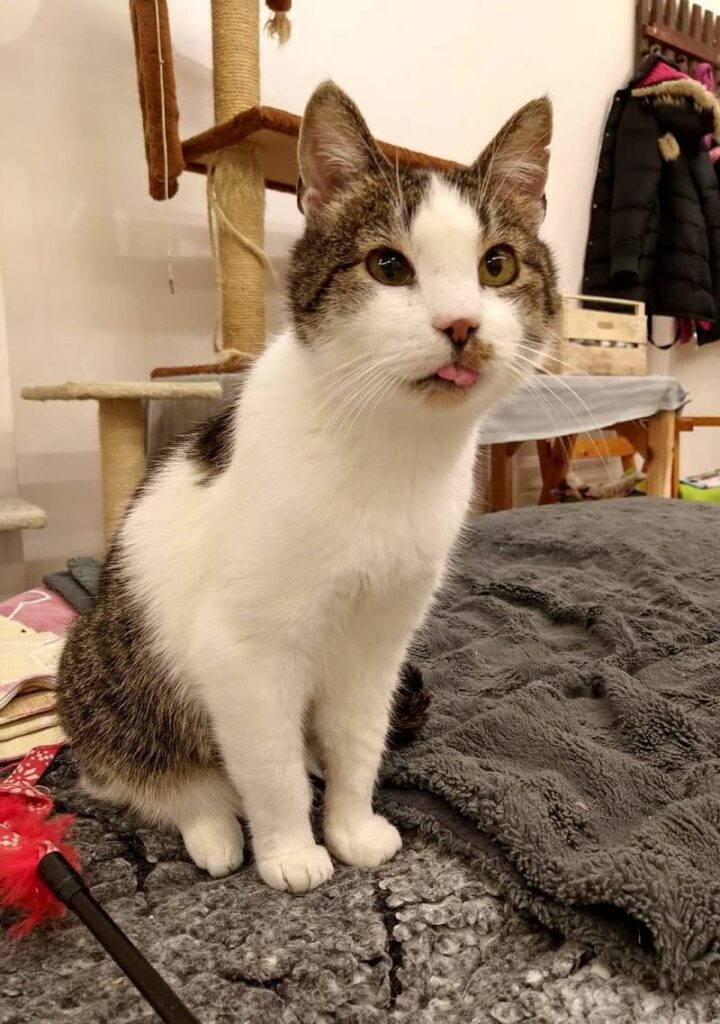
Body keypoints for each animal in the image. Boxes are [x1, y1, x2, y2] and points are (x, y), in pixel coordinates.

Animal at [57, 81, 559, 893]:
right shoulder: (243, 650)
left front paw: (351, 827)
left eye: (498, 265)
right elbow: (269, 769)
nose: (461, 325)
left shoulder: (380, 641)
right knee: (156, 779)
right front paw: (292, 851)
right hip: (109, 677)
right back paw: (214, 829)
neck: (388, 449)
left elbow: (359, 739)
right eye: (387, 265)